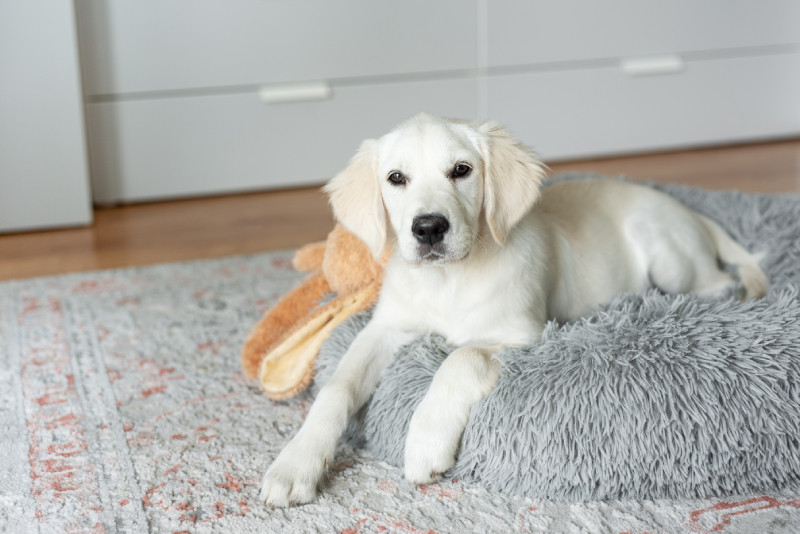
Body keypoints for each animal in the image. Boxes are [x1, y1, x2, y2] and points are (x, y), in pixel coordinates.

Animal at [260, 114, 764, 510]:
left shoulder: (527, 334)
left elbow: (462, 356)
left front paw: (425, 440)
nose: (429, 228)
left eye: (462, 170)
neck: (448, 280)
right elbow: (337, 388)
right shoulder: (386, 328)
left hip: (666, 254)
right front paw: (296, 463)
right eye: (396, 178)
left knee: (720, 283)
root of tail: (691, 213)